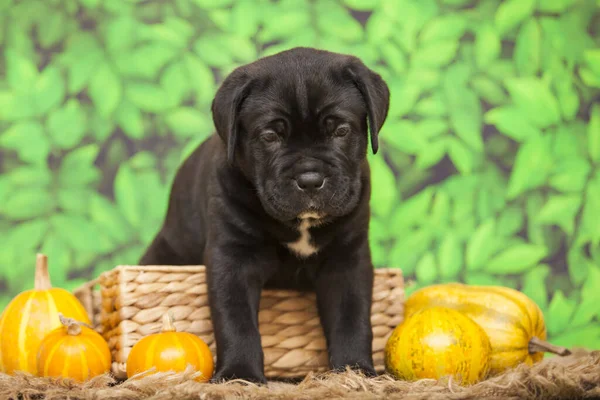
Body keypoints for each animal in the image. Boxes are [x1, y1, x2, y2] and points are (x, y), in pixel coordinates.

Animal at [142, 46, 394, 382]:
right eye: (270, 136)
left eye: (341, 131)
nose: (310, 179)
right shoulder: (233, 258)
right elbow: (236, 321)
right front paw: (239, 374)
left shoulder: (347, 260)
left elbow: (351, 317)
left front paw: (354, 372)